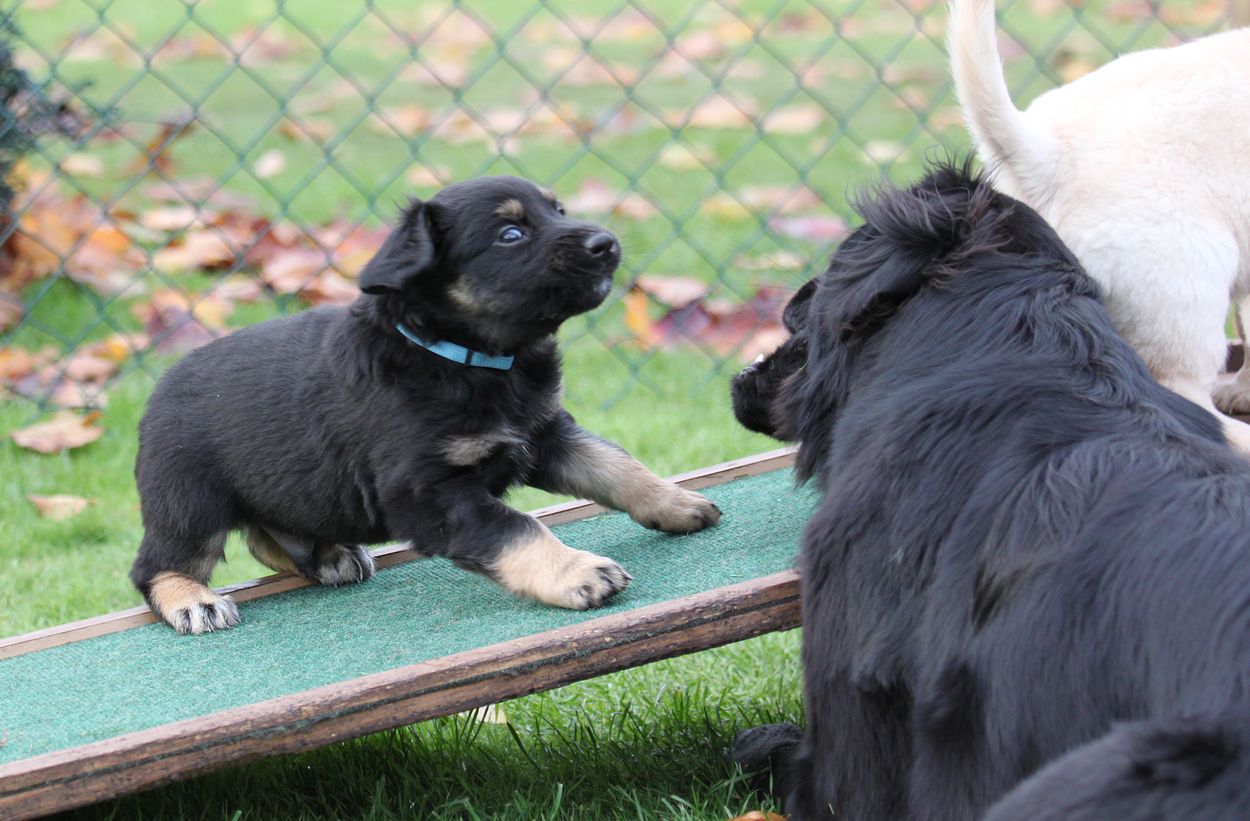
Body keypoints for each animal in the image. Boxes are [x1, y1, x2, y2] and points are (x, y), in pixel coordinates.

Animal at [133, 176, 720, 635]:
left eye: (558, 211)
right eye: (511, 234)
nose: (608, 243)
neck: (466, 358)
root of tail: (155, 390)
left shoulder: (543, 433)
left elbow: (615, 465)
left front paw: (676, 503)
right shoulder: (427, 491)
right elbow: (515, 527)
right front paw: (577, 573)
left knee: (265, 537)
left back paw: (330, 556)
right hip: (190, 498)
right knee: (156, 564)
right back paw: (194, 600)